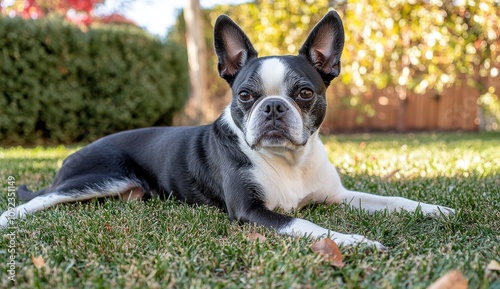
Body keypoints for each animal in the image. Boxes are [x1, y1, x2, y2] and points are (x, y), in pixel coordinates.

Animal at [0, 11, 454, 249]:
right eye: (246, 96)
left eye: (305, 93)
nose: (273, 107)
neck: (287, 161)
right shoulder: (251, 212)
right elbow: (306, 225)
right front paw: (356, 241)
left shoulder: (337, 195)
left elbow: (389, 199)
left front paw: (433, 209)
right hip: (96, 179)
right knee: (34, 200)